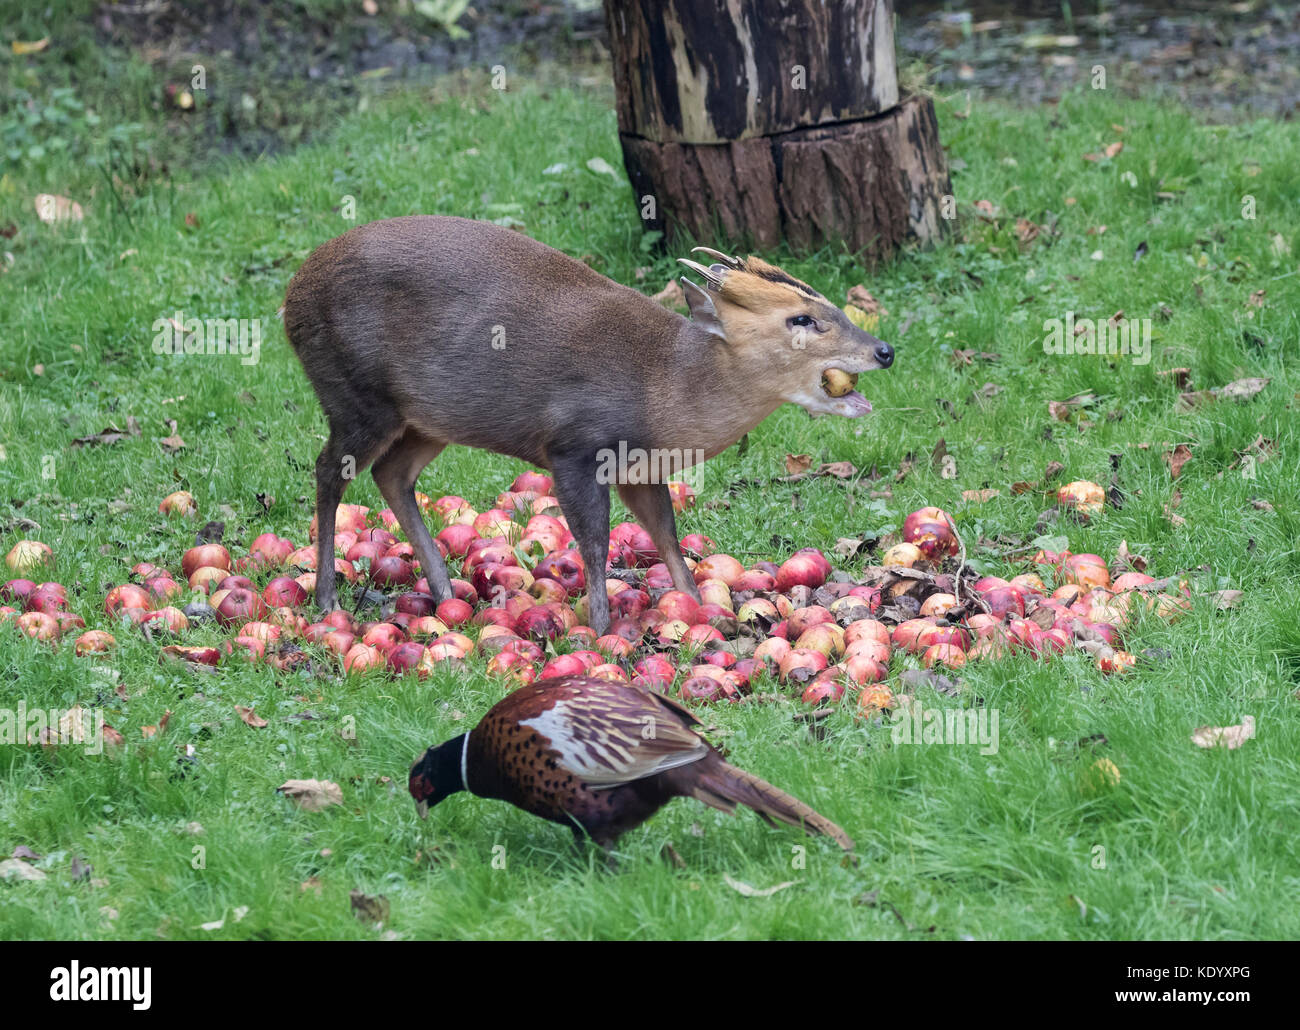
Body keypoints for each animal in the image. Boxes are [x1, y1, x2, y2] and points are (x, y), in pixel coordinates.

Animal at [284, 215, 894, 634]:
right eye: (801, 319)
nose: (884, 350)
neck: (666, 387)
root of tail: (290, 296)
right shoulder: (574, 446)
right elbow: (595, 542)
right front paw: (601, 628)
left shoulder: (639, 467)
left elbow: (667, 535)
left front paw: (701, 609)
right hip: (355, 395)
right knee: (328, 471)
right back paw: (327, 598)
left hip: (426, 420)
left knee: (391, 474)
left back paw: (442, 591)